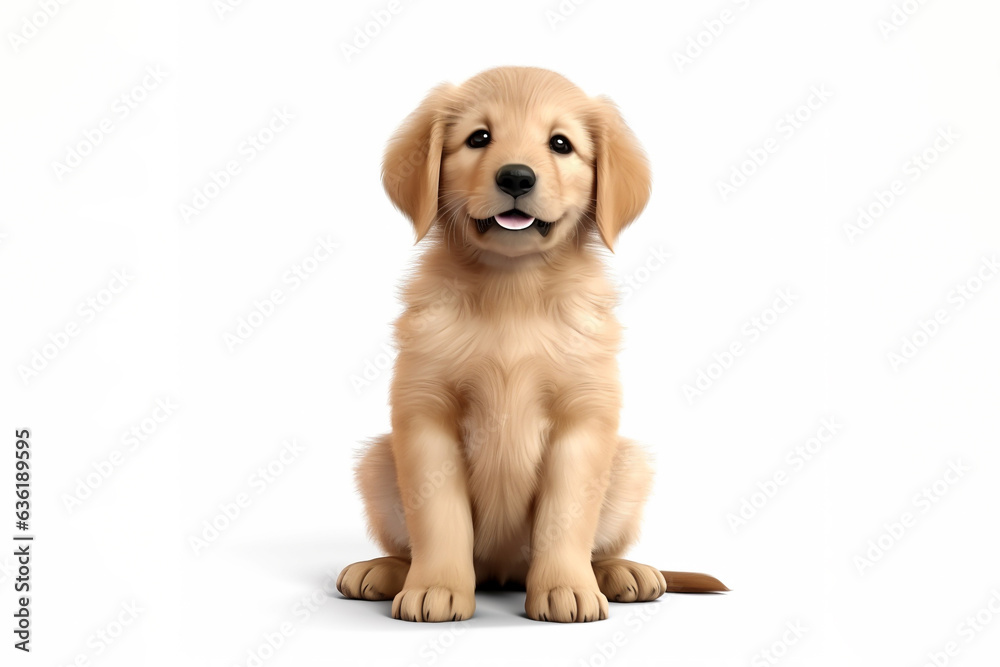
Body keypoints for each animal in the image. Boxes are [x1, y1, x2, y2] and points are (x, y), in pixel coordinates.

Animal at [338, 65, 728, 624]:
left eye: (560, 143)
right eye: (479, 138)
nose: (517, 177)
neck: (513, 287)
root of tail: (502, 573)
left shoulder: (583, 420)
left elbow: (565, 517)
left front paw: (568, 588)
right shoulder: (425, 414)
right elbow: (439, 518)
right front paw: (436, 587)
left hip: (629, 463)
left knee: (600, 548)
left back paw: (621, 573)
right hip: (377, 461)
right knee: (408, 543)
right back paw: (385, 569)